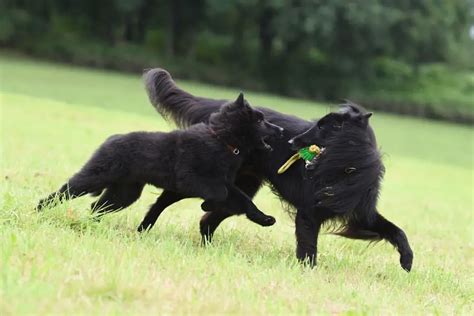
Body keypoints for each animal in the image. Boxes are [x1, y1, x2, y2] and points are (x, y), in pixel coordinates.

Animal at [38, 92, 282, 232]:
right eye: (260, 121)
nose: (280, 130)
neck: (222, 140)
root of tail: (111, 139)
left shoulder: (226, 183)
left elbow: (243, 200)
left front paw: (263, 218)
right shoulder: (191, 179)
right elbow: (220, 194)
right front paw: (207, 205)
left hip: (124, 193)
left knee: (96, 206)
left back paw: (92, 224)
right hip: (96, 176)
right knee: (65, 191)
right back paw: (39, 210)